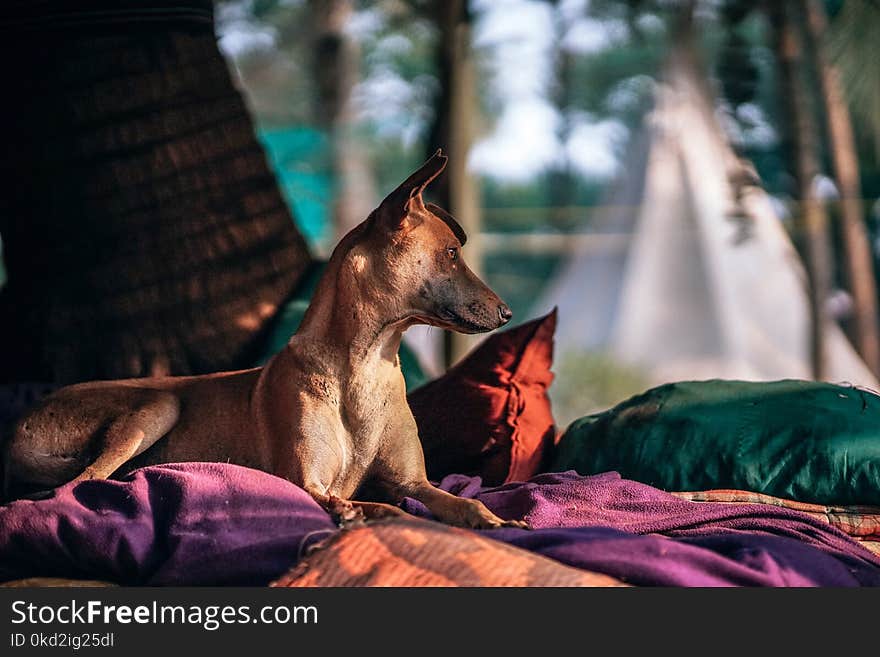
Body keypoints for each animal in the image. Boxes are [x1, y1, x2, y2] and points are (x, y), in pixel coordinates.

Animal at [1, 150, 528, 528]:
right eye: (452, 253)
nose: (508, 312)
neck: (364, 366)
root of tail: (16, 429)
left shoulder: (414, 482)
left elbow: (461, 504)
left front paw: (500, 520)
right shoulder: (306, 483)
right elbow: (379, 508)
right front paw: (360, 513)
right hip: (158, 404)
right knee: (79, 485)